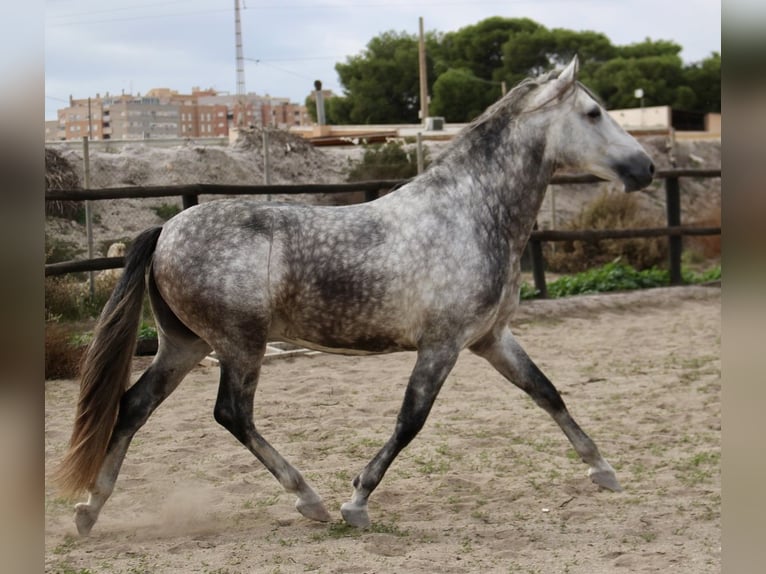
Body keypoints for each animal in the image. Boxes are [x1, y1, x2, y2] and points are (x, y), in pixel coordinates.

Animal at [57, 57, 656, 536]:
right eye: (594, 113)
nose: (646, 168)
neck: (469, 214)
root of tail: (166, 230)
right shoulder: (442, 345)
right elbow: (411, 420)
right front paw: (357, 501)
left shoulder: (490, 338)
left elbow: (547, 392)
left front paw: (603, 471)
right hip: (240, 346)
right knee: (231, 414)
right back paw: (310, 500)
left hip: (185, 345)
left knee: (134, 406)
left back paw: (90, 511)